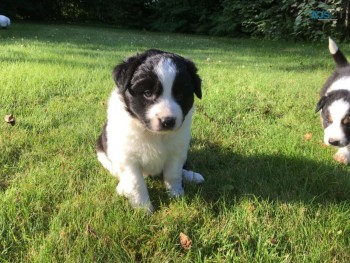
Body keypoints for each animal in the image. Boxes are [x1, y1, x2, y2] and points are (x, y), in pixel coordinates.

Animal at [97, 49, 204, 213]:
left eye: (180, 95)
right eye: (147, 93)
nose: (168, 121)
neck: (153, 134)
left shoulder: (176, 152)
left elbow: (173, 174)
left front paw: (176, 196)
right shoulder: (128, 158)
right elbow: (136, 183)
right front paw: (143, 209)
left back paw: (191, 176)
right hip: (102, 151)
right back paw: (122, 187)